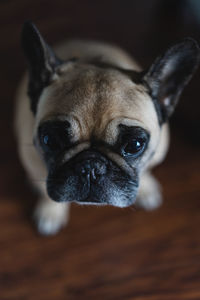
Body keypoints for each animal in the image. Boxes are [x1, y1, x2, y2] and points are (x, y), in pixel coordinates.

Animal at [14, 22, 200, 236]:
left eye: (135, 145)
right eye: (50, 140)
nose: (91, 167)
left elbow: (146, 170)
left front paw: (146, 188)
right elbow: (46, 194)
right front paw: (50, 212)